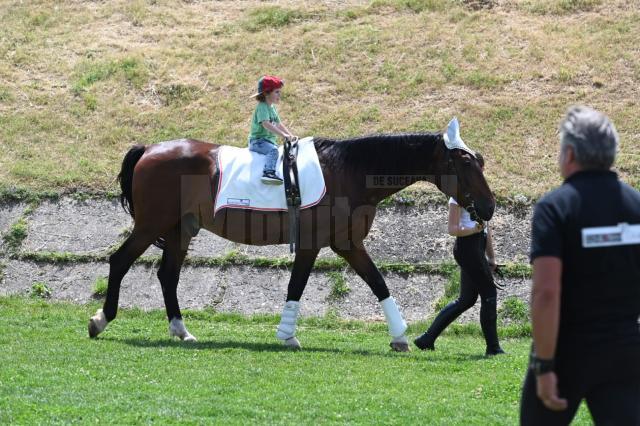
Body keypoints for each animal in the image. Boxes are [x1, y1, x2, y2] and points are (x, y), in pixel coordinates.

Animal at [87, 125, 496, 352]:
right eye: (465, 163)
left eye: (481, 161)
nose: (489, 207)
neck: (347, 171)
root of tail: (149, 149)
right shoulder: (314, 244)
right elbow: (296, 286)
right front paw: (287, 335)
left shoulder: (348, 244)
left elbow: (379, 283)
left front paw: (399, 337)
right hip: (151, 225)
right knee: (120, 261)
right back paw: (101, 319)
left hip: (179, 229)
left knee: (167, 275)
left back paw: (181, 330)